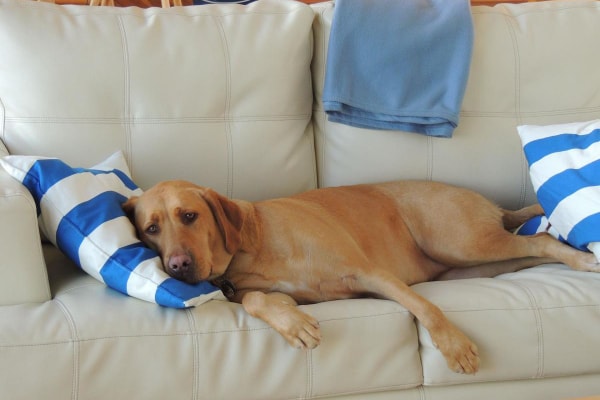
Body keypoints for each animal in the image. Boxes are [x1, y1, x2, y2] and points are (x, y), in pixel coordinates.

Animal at [123, 180, 600, 374]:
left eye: (189, 215)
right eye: (150, 229)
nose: (177, 266)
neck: (249, 245)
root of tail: (492, 205)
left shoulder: (373, 273)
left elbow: (424, 306)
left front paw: (453, 346)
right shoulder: (267, 293)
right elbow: (260, 300)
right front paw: (294, 325)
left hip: (462, 242)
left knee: (541, 241)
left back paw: (582, 261)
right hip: (478, 262)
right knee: (534, 249)